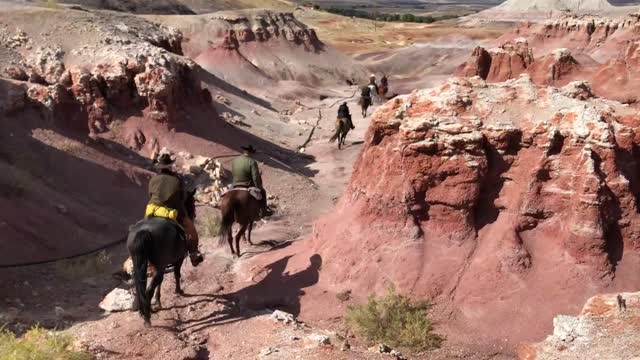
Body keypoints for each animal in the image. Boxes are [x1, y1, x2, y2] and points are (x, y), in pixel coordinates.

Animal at [125, 191, 194, 326]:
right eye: (192, 202)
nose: (193, 214)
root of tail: (144, 231)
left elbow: (160, 282)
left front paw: (158, 301)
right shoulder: (178, 260)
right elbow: (177, 275)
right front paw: (178, 290)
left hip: (139, 264)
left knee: (140, 285)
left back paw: (141, 310)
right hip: (160, 265)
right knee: (148, 291)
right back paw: (147, 317)